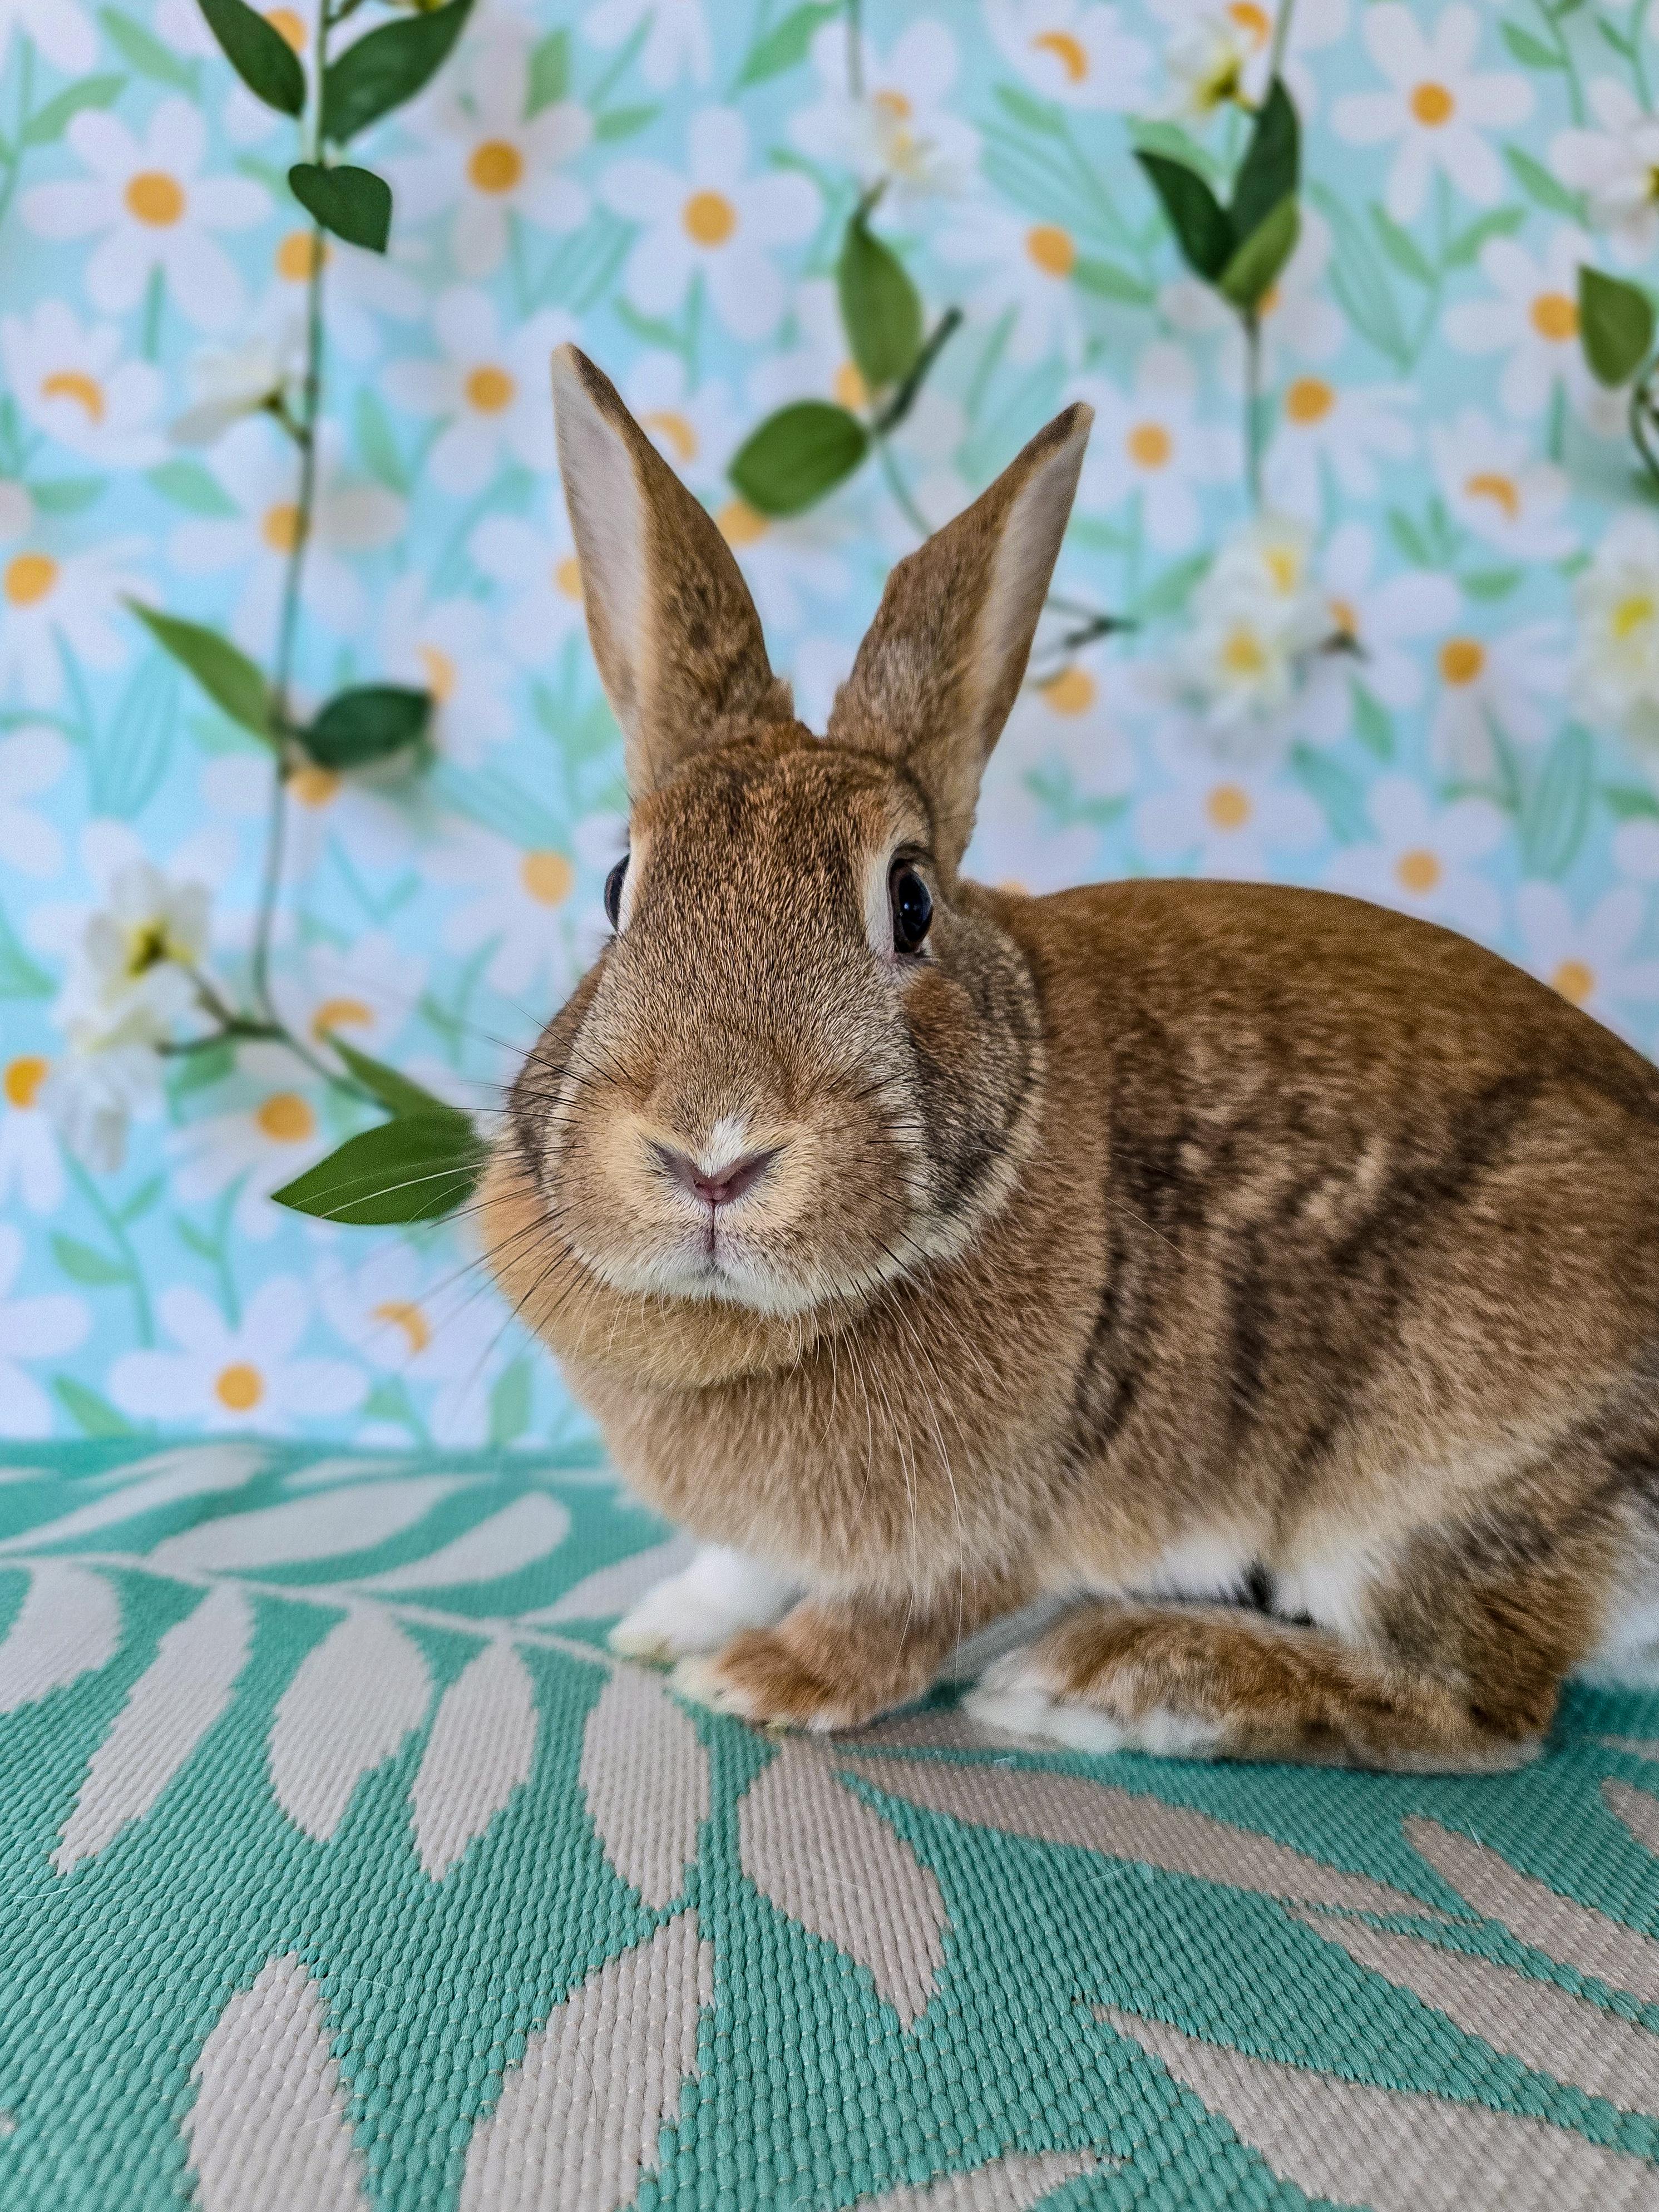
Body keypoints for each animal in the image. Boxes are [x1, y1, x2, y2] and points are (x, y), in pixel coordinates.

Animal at [480, 343, 1659, 1771]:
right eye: (618, 888)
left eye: (911, 901)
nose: (712, 1152)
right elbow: (744, 1558)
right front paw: (671, 1623)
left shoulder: (997, 1515)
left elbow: (907, 1610)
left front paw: (767, 1679)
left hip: (1431, 1474)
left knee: (1474, 1710)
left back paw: (1101, 1682)